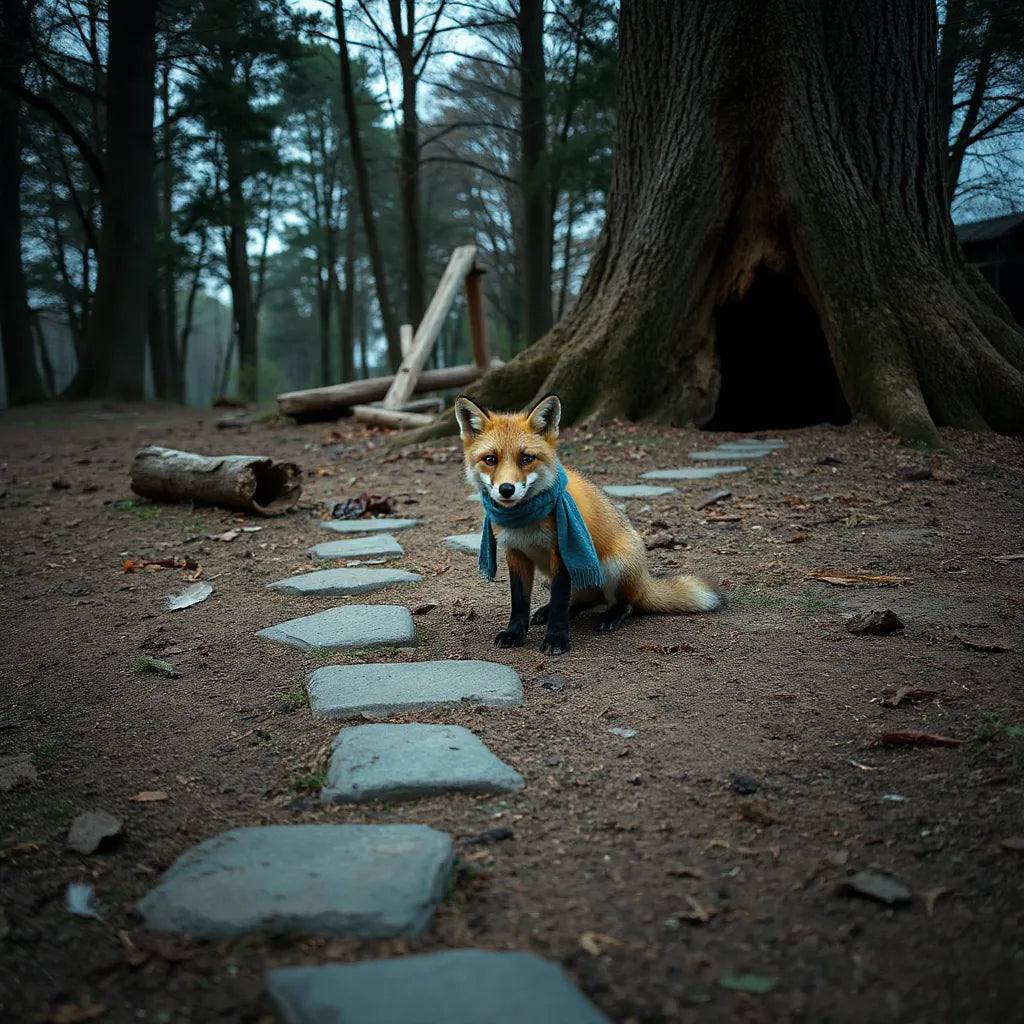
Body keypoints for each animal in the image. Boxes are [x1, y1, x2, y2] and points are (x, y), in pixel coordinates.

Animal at [454, 392, 722, 655]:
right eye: (490, 459)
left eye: (526, 458)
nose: (506, 489)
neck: (524, 523)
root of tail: (645, 580)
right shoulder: (516, 552)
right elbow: (520, 602)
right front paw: (515, 633)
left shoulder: (563, 552)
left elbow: (560, 601)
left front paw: (556, 639)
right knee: (585, 599)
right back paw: (549, 611)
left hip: (613, 565)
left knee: (627, 604)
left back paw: (611, 616)